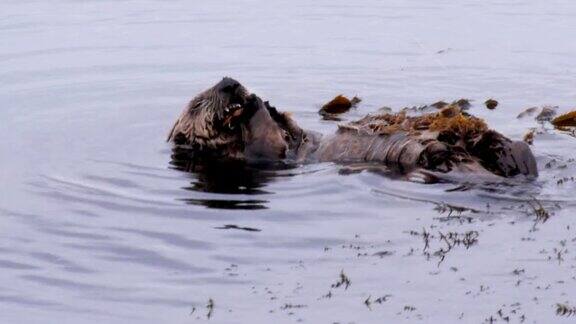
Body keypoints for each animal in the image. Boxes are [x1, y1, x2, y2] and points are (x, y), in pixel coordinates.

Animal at [169, 78, 536, 182]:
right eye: (197, 103)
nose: (229, 83)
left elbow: (291, 128)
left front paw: (265, 104)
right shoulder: (259, 156)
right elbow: (267, 143)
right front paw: (252, 107)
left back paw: (512, 151)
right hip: (423, 156)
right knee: (437, 155)